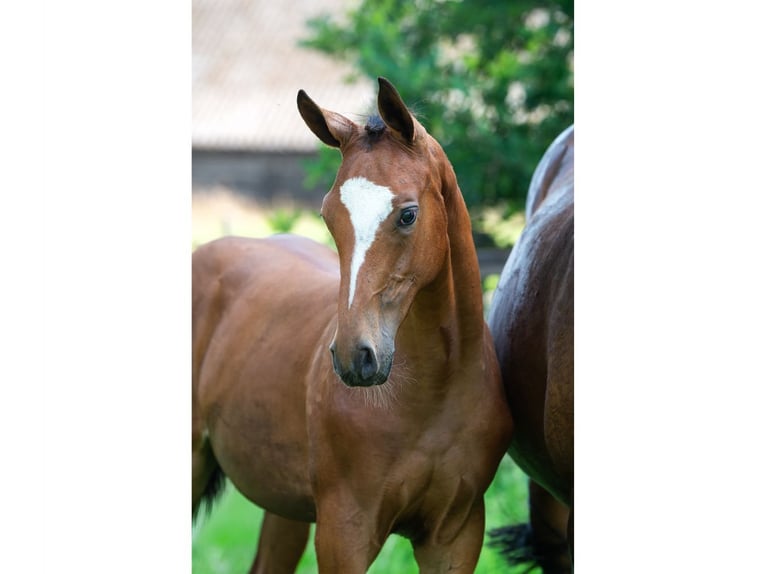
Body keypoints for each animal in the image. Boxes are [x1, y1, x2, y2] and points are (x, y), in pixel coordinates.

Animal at [192, 77, 514, 573]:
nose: (354, 357)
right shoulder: (345, 532)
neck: (433, 393)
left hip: (285, 506)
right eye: (329, 216)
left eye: (408, 214)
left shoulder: (456, 535)